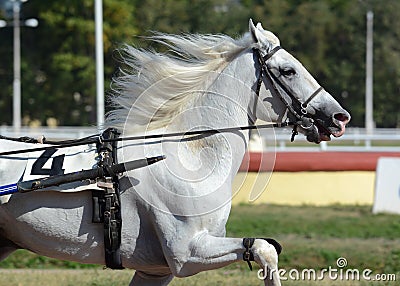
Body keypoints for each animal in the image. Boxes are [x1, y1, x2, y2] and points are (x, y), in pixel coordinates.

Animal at [0, 19, 348, 284]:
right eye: (288, 70)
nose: (339, 117)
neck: (188, 157)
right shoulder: (186, 253)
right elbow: (265, 248)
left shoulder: (157, 270)